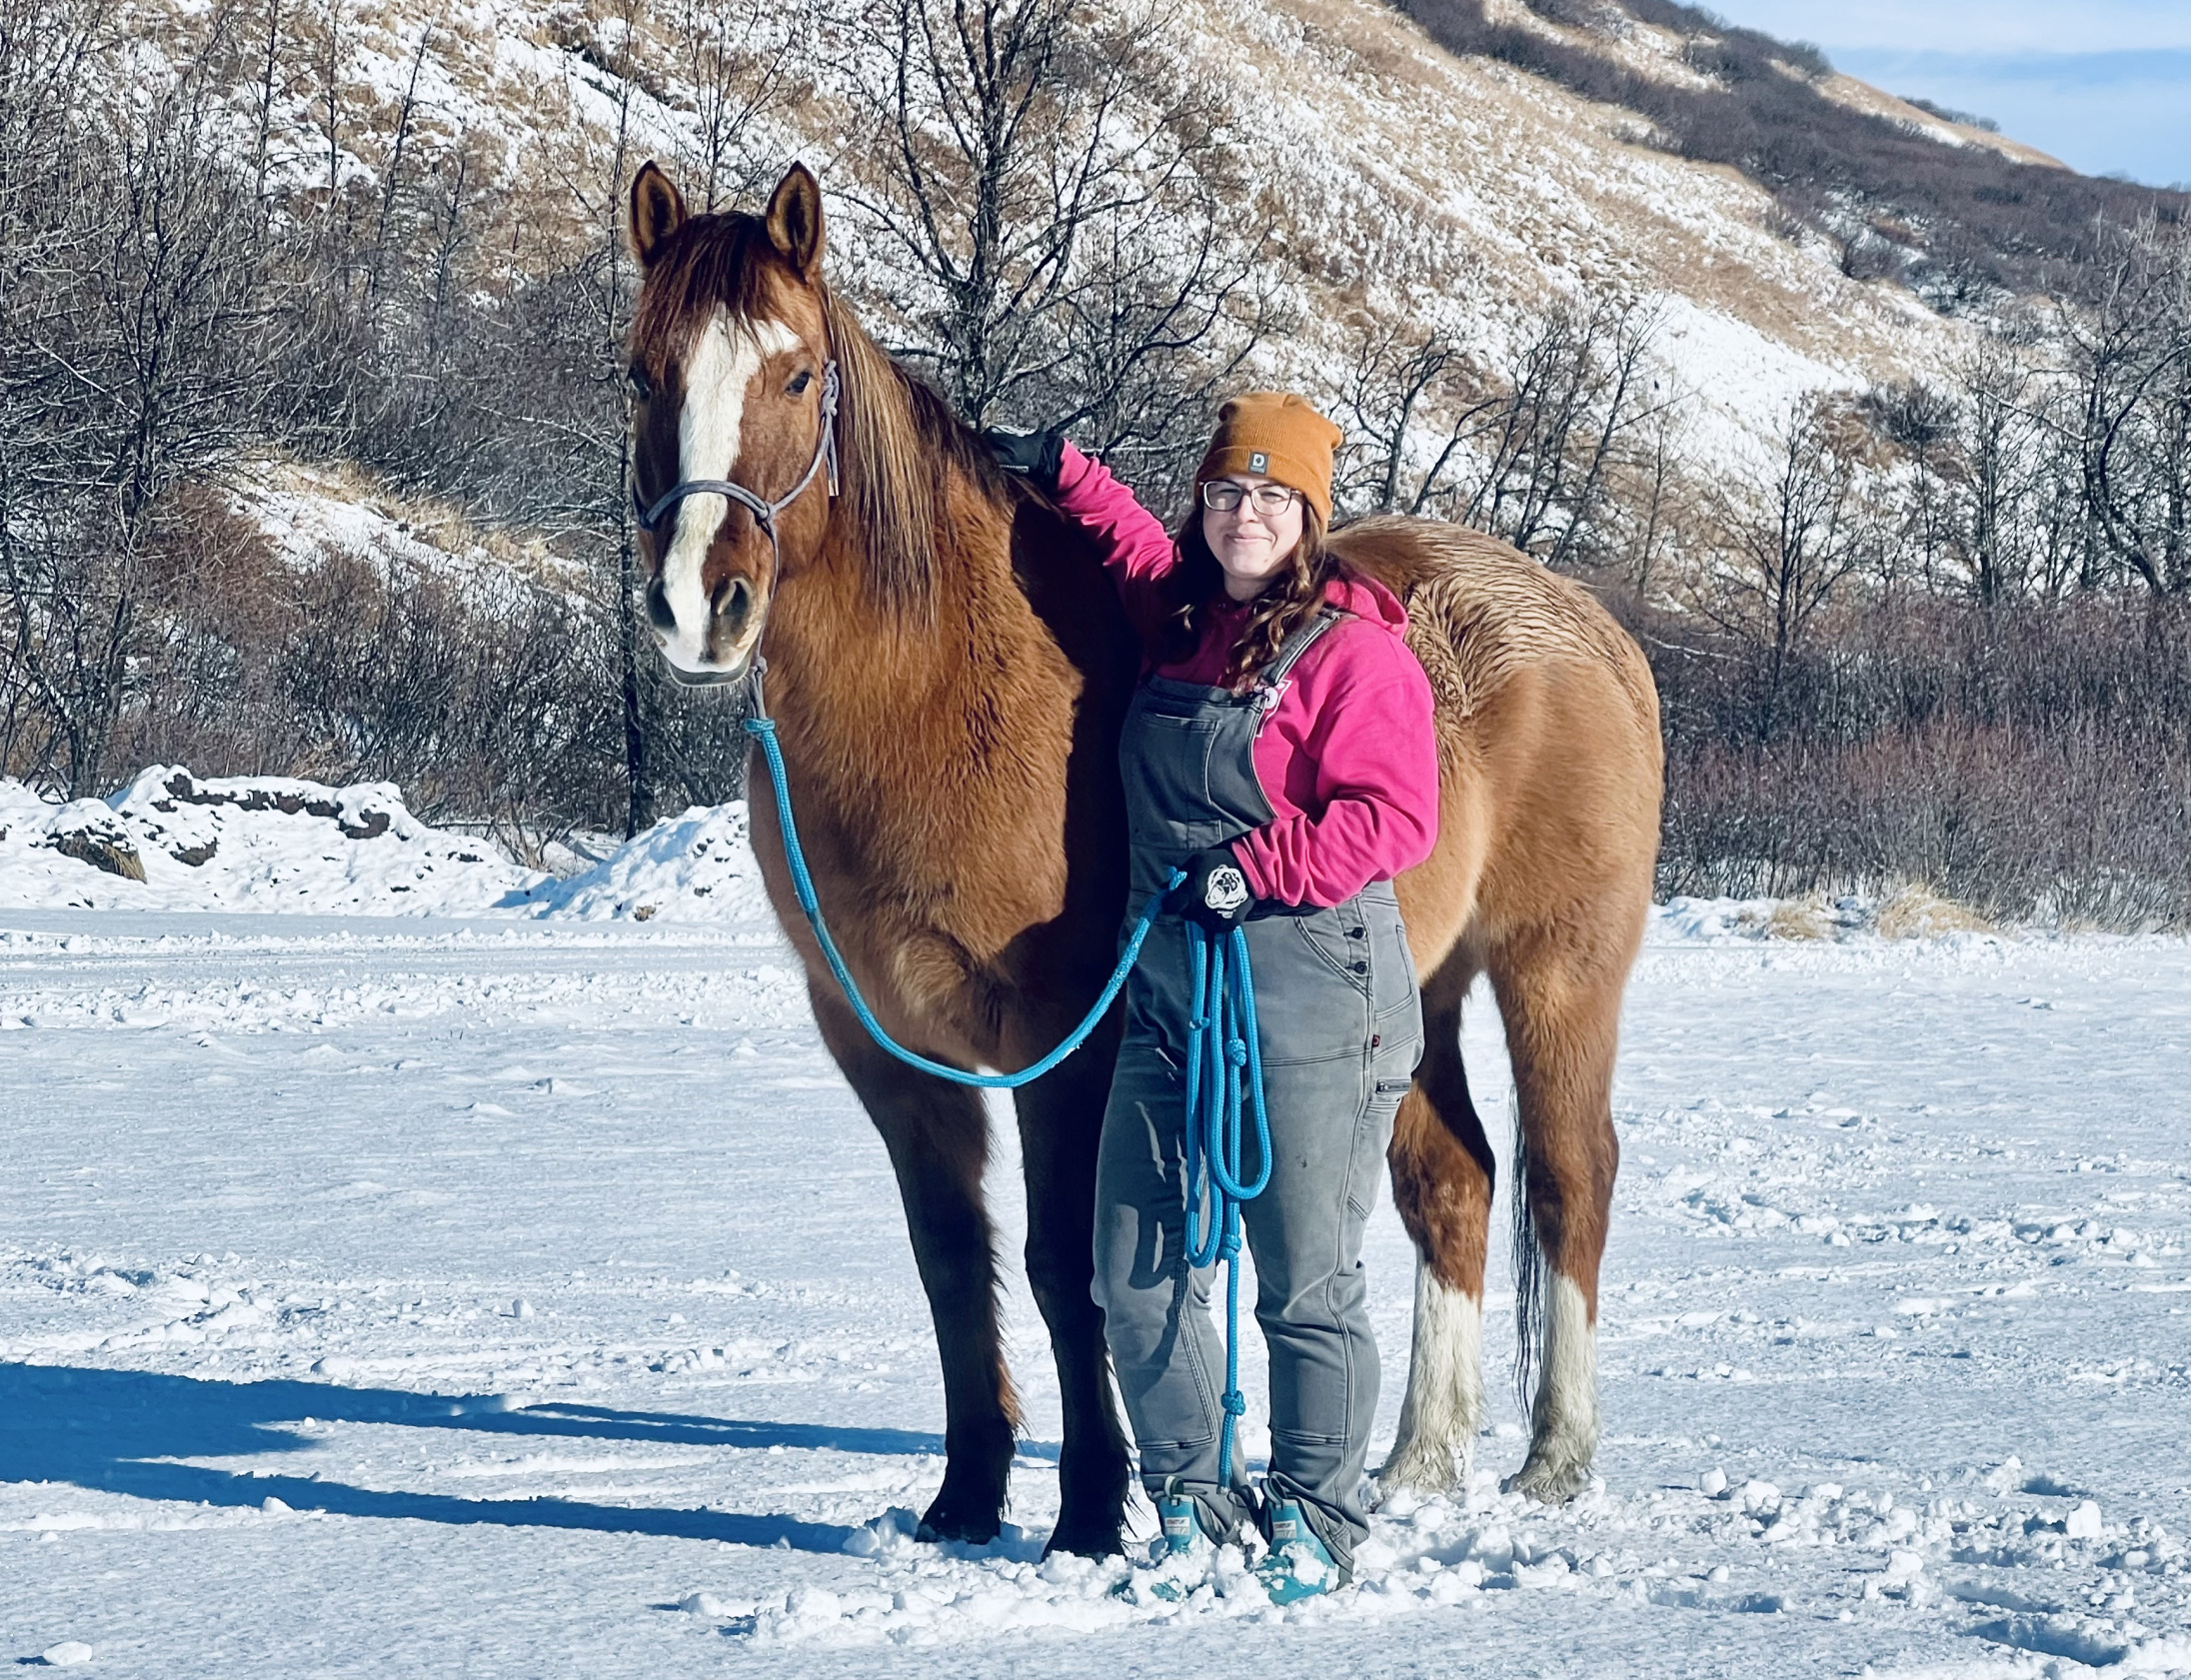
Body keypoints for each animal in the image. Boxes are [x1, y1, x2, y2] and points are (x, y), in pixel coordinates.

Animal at [618, 164, 1656, 1559]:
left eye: (793, 375)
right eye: (644, 373)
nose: (699, 606)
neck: (939, 688)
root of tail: (1584, 626)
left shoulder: (1062, 1038)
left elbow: (1066, 1268)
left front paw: (1087, 1511)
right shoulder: (885, 1046)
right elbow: (951, 1263)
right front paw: (965, 1499)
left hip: (1556, 973)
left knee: (1568, 1180)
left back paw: (1551, 1461)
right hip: (1413, 995)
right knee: (1452, 1182)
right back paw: (1414, 1463)